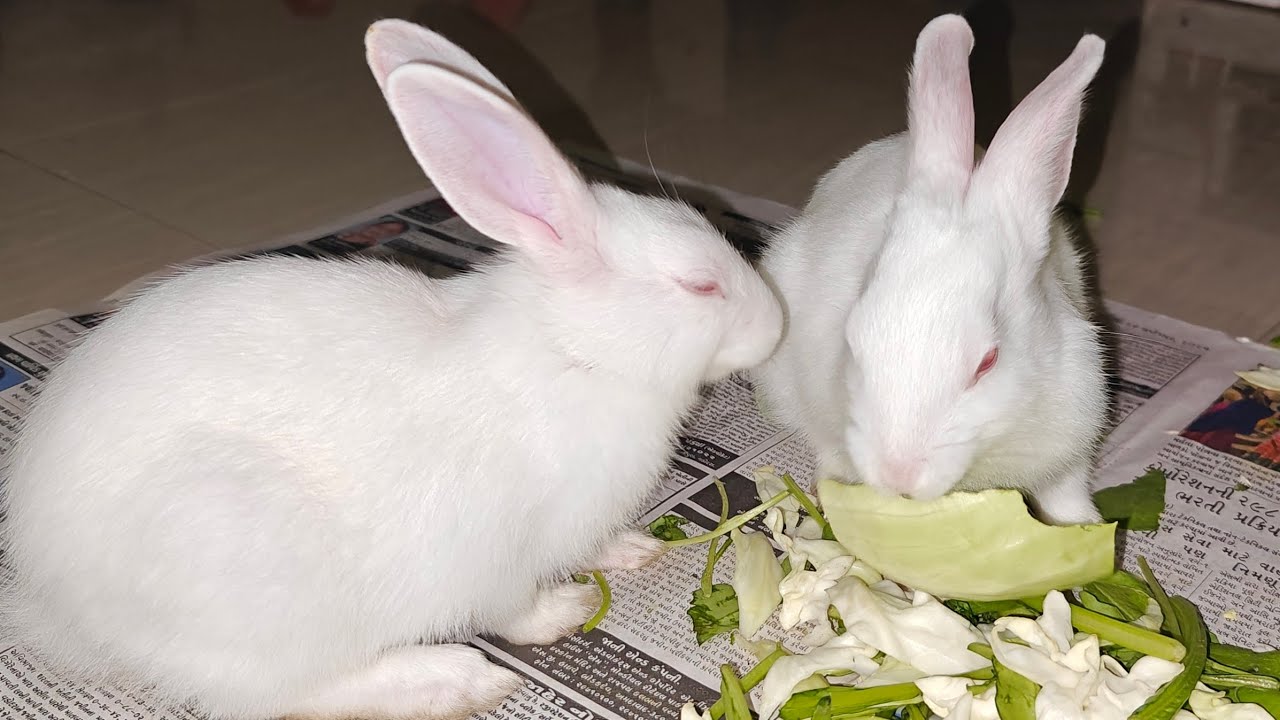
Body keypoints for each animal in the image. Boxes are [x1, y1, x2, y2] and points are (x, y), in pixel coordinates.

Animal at [0, 19, 783, 720]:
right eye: (700, 287)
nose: (777, 325)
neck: (574, 352)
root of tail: (55, 606)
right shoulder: (499, 556)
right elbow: (516, 610)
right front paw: (569, 606)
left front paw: (632, 549)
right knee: (275, 696)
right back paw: (453, 682)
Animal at [752, 14, 1109, 526]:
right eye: (852, 343)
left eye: (988, 362)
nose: (898, 473)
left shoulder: (1074, 428)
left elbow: (1067, 493)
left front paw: (1084, 527)